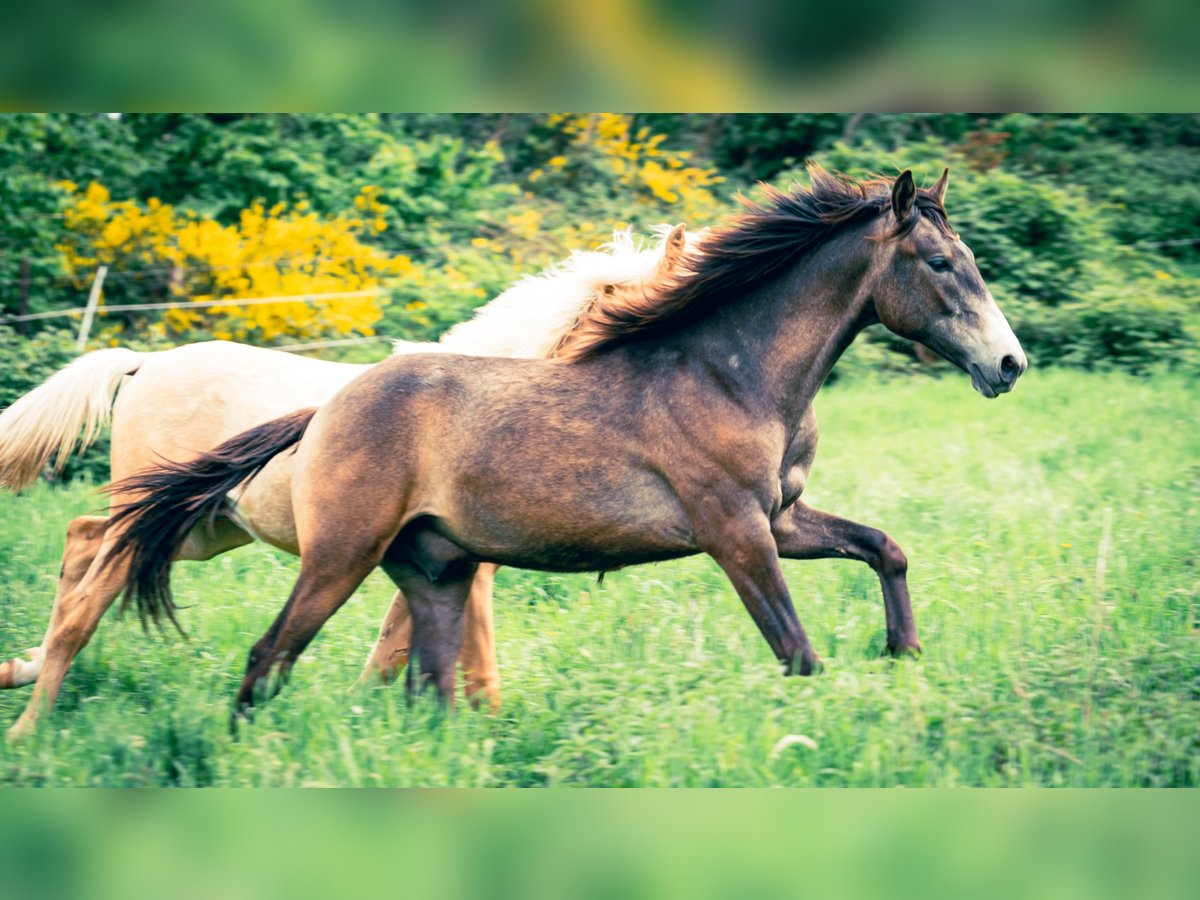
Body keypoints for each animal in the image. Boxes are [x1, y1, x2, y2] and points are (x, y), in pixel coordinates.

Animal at [0, 222, 691, 734]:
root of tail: (145, 363)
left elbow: (404, 646)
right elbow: (437, 652)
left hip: (201, 529)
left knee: (80, 539)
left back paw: (19, 672)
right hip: (159, 524)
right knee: (84, 603)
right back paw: (30, 727)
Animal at [110, 168, 1022, 720]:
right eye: (940, 263)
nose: (1008, 364)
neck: (734, 374)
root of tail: (327, 406)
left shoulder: (783, 520)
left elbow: (884, 548)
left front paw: (904, 656)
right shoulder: (735, 532)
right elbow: (797, 653)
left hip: (436, 571)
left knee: (429, 691)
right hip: (340, 556)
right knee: (270, 656)